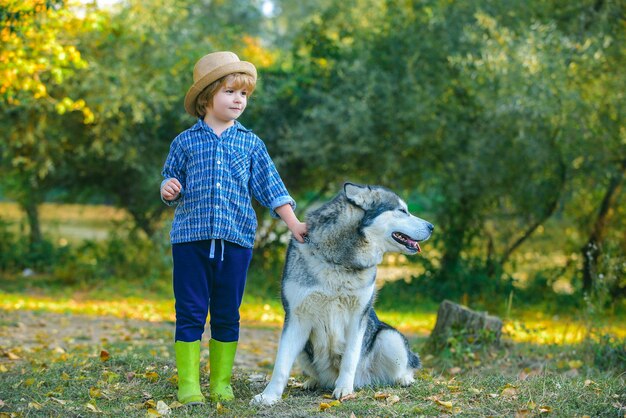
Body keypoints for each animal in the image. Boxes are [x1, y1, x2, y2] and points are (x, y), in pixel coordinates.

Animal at [251, 183, 432, 404]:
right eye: (402, 211)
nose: (432, 227)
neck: (339, 261)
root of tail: (364, 381)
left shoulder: (358, 316)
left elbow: (350, 358)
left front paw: (344, 389)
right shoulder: (296, 318)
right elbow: (281, 365)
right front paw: (268, 396)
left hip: (390, 337)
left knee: (404, 366)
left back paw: (404, 378)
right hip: (304, 350)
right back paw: (312, 381)